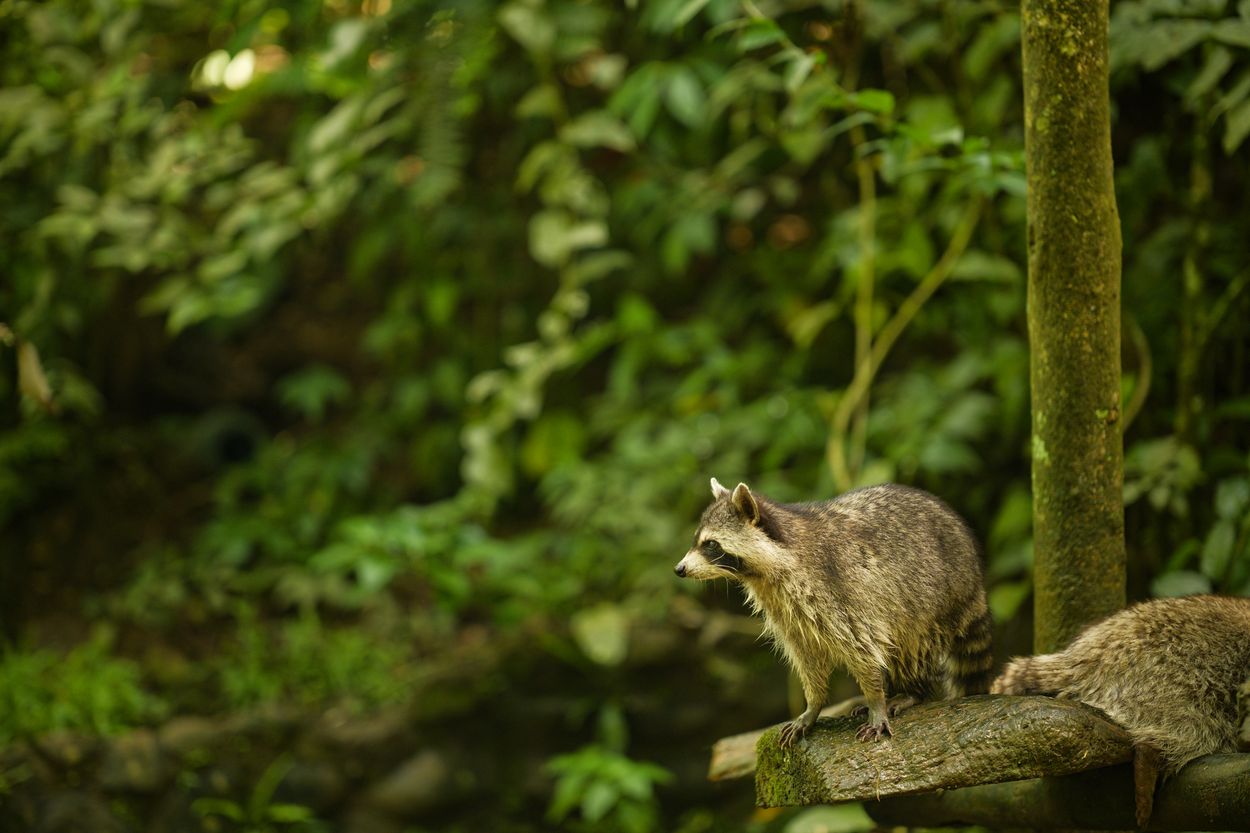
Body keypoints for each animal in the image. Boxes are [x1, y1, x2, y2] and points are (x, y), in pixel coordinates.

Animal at [674, 478, 992, 746]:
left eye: (711, 544)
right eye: (696, 540)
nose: (679, 569)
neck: (765, 571)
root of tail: (975, 576)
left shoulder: (842, 595)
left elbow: (862, 648)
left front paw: (876, 699)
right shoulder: (787, 612)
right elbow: (806, 656)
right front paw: (813, 705)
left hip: (932, 603)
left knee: (911, 647)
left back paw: (912, 691)